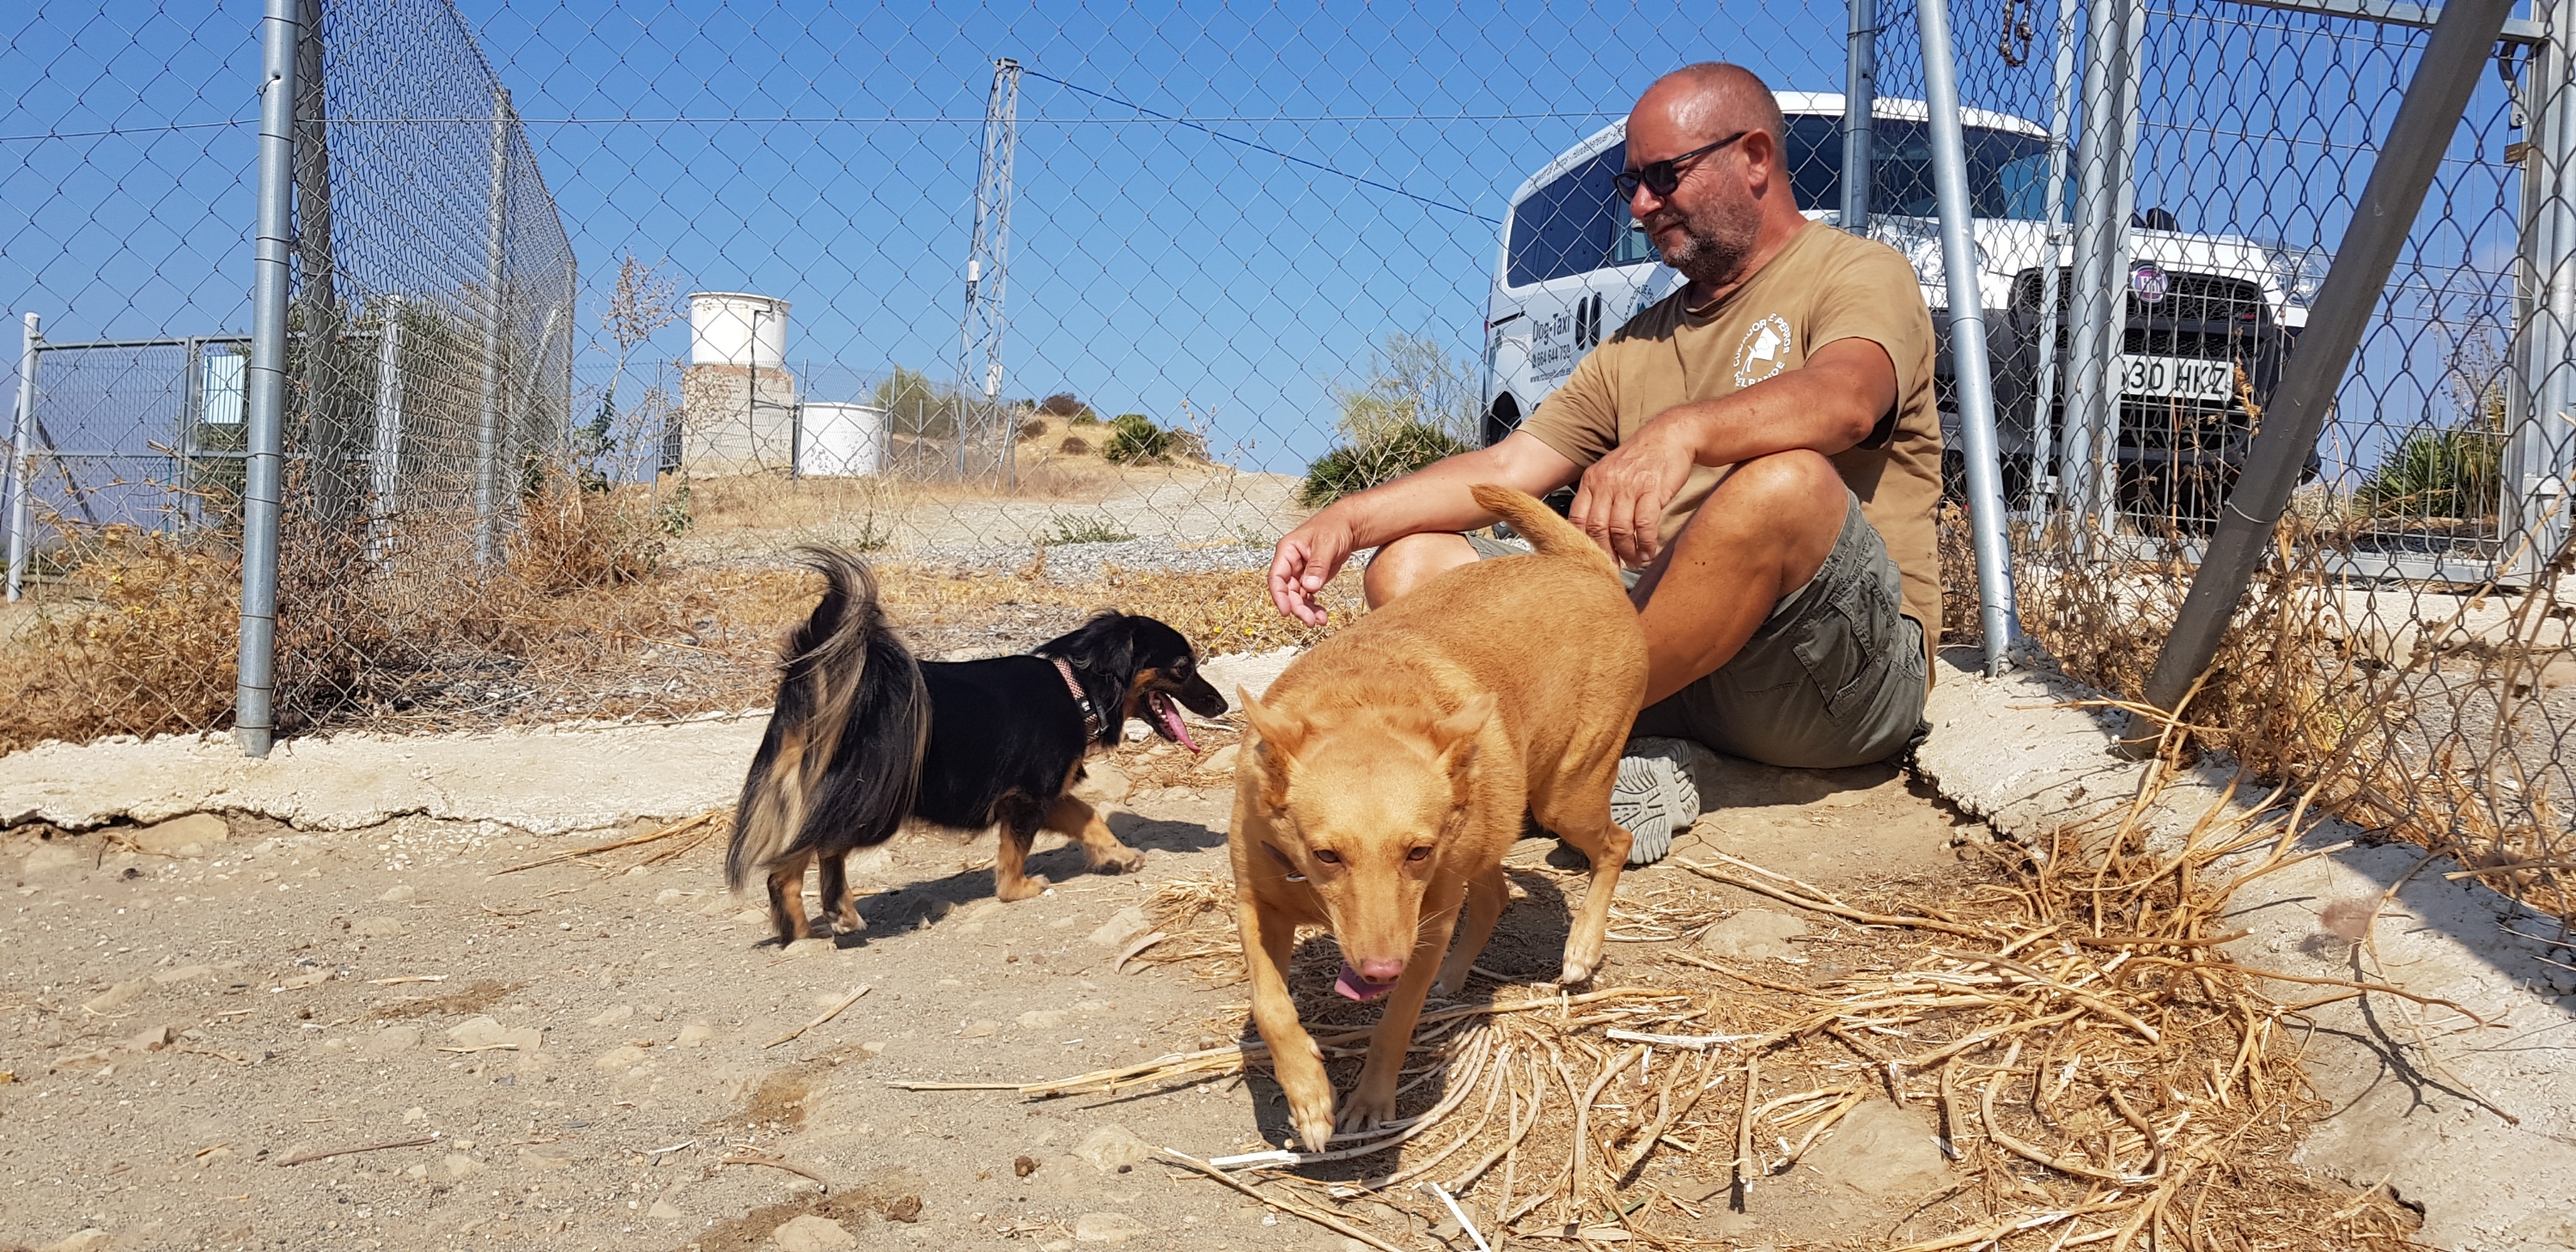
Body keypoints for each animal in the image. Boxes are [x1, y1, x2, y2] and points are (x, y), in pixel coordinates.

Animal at [726, 547, 1229, 945]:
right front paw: (1018, 890)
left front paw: (1119, 855)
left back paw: (802, 936)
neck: (1077, 689)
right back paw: (841, 911)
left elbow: (1089, 817)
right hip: (874, 798)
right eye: (1183, 667)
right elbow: (1015, 854)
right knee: (825, 848)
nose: (1222, 703)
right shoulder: (1026, 798)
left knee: (785, 870)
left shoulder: (1046, 794)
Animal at [1229, 484, 1649, 1152]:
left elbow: (1397, 1019)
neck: (1360, 702)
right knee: (1497, 892)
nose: (1379, 969)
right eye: (1326, 854)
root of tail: (1587, 565)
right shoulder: (1255, 905)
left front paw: (1371, 1099)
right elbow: (1271, 1006)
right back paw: (1455, 975)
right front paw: (1308, 1096)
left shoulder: (1425, 922)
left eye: (1416, 852)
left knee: (1616, 842)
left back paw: (1581, 947)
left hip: (1567, 793)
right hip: (1492, 824)